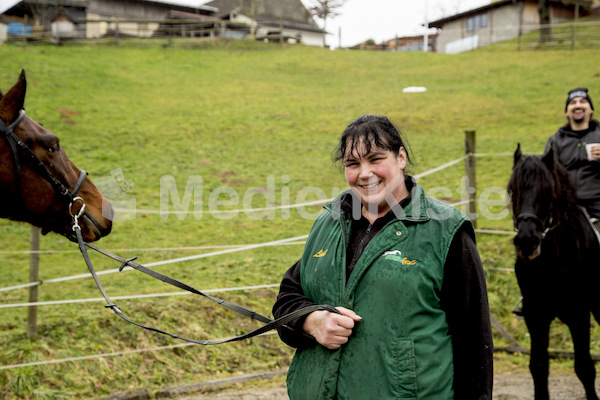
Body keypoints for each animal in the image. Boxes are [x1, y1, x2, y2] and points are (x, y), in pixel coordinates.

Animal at [508, 145, 596, 400]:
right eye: (512, 190)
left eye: (547, 191)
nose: (526, 242)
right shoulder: (536, 315)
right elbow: (538, 366)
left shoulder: (579, 315)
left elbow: (584, 367)